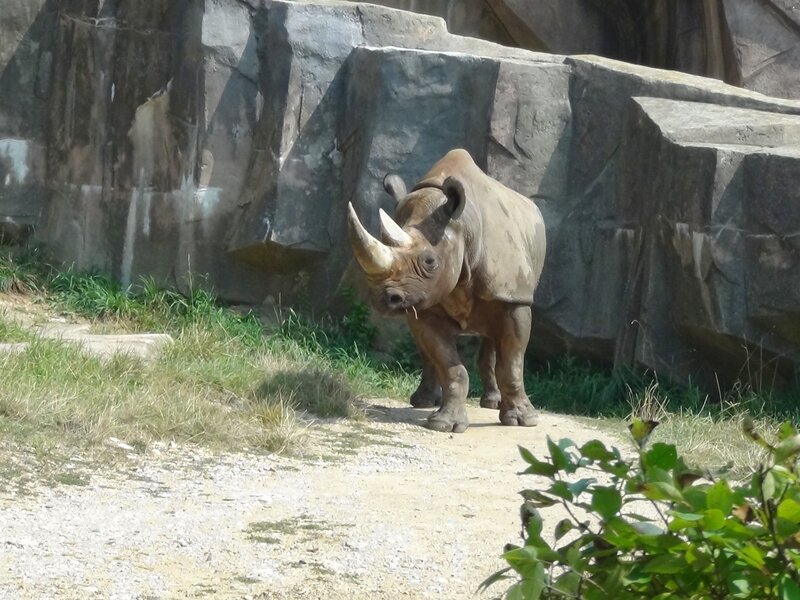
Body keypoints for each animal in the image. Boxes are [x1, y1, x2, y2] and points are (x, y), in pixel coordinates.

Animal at [346, 149, 546, 433]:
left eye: (430, 262)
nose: (385, 299)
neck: (463, 225)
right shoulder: (424, 301)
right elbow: (450, 365)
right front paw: (444, 424)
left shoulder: (514, 297)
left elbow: (512, 363)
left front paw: (523, 421)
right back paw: (423, 402)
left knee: (494, 338)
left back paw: (491, 403)